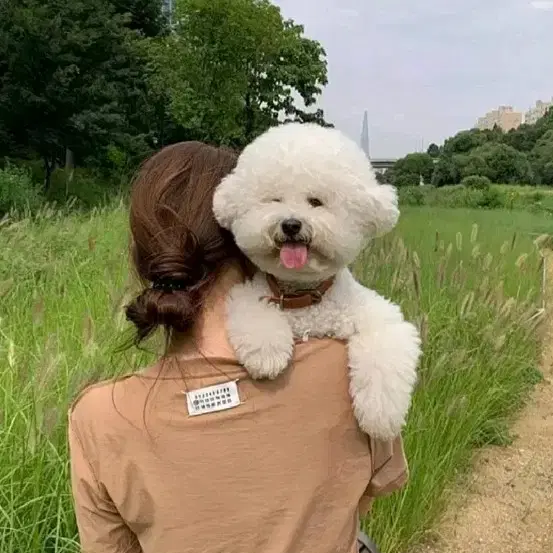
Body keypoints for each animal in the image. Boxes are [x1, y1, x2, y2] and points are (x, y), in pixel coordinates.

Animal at [213, 123, 420, 438]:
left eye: (316, 202)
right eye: (274, 200)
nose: (290, 224)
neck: (304, 299)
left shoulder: (377, 315)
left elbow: (384, 349)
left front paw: (381, 415)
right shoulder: (250, 294)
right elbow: (256, 314)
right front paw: (267, 355)